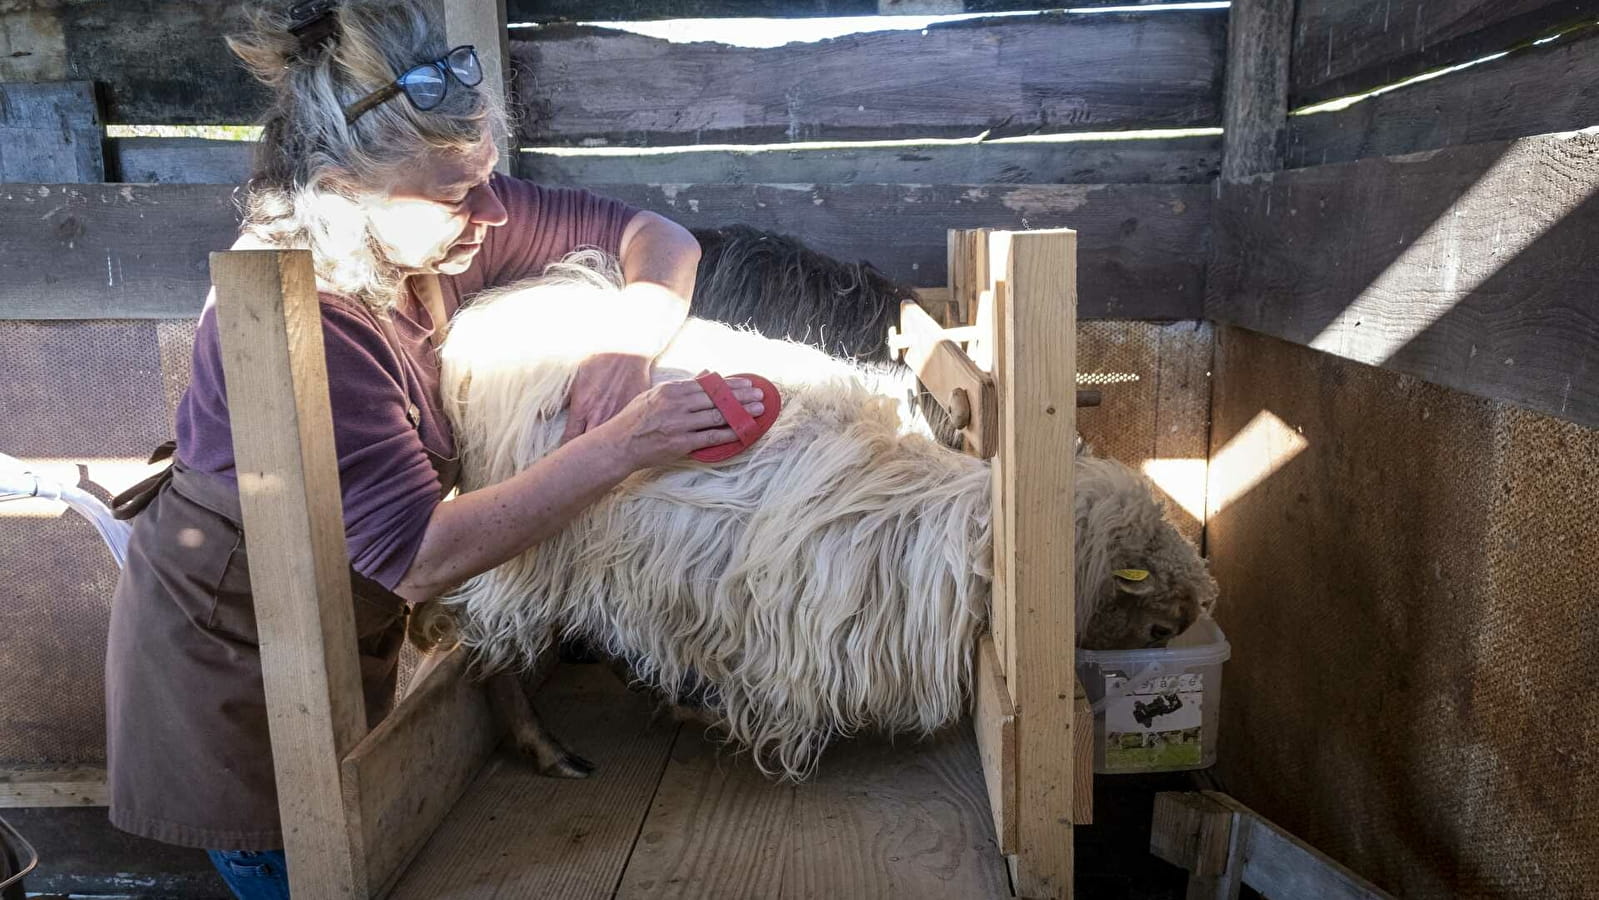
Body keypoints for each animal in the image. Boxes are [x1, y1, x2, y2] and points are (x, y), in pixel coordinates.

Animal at [438, 252, 1208, 773]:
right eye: (1138, 582)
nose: (1181, 624)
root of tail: (502, 315)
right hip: (529, 542)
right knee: (483, 639)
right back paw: (543, 743)